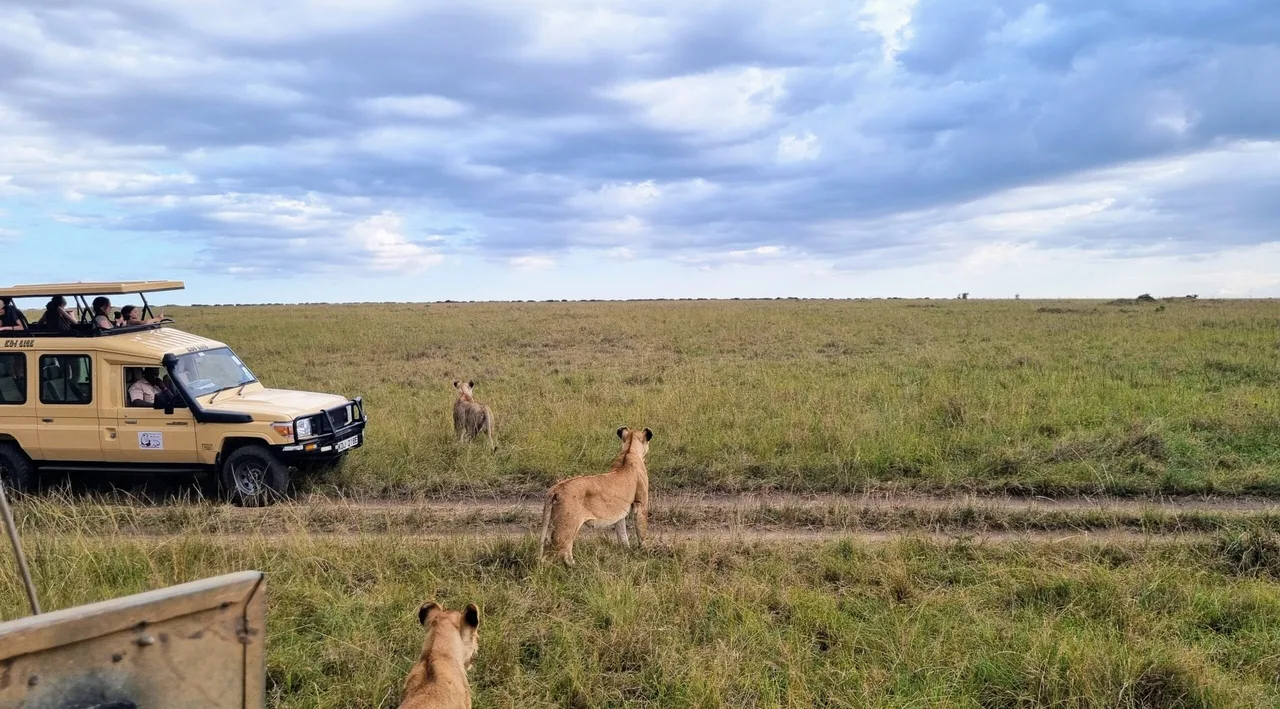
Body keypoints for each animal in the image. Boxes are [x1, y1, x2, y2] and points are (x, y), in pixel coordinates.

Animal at [540, 426, 652, 566]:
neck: (629, 451)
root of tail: (556, 488)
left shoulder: (621, 512)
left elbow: (622, 533)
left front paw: (626, 551)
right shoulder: (641, 504)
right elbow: (642, 531)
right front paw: (645, 552)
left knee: (563, 552)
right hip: (565, 530)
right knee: (552, 555)